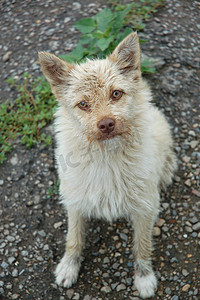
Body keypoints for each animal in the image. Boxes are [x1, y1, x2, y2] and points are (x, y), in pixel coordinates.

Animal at [39, 32, 177, 298]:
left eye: (116, 94)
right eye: (83, 104)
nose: (106, 124)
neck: (107, 156)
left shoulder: (146, 208)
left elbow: (142, 245)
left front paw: (144, 277)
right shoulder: (75, 201)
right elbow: (73, 237)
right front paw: (69, 266)